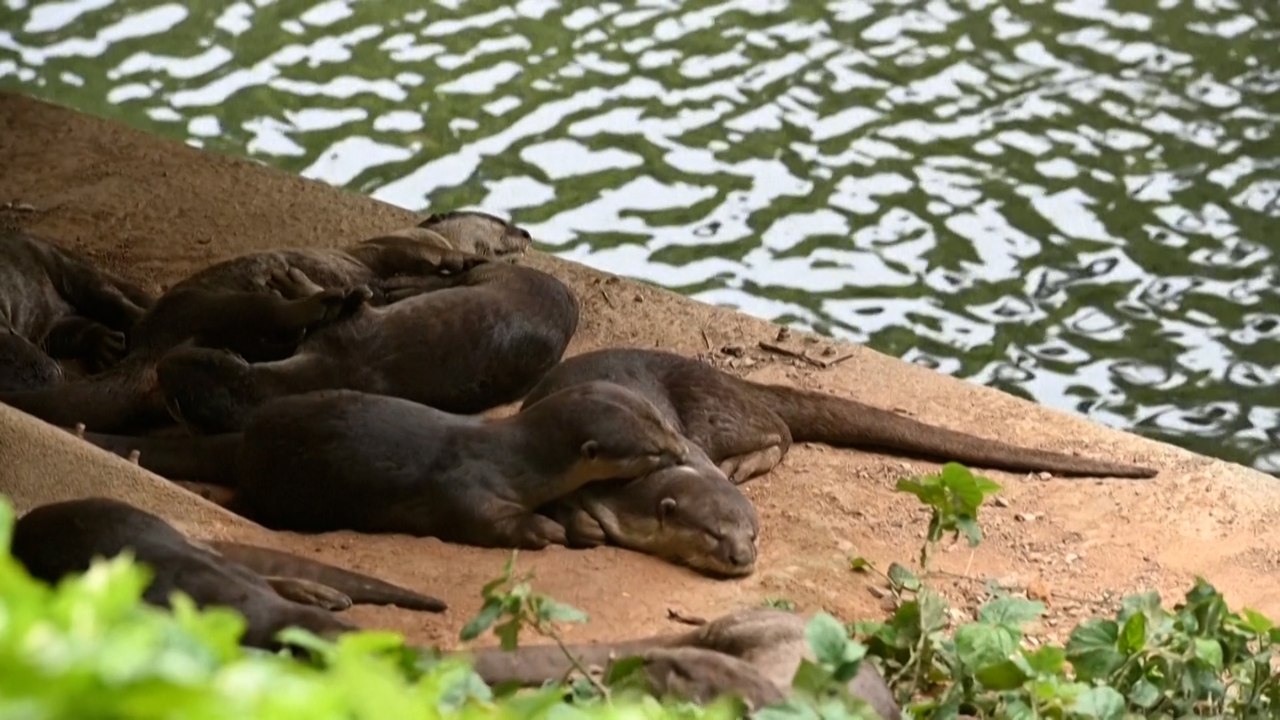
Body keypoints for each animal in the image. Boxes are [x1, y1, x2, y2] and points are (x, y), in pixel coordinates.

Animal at [74, 383, 690, 549]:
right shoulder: (466, 485)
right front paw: (543, 528)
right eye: (650, 450)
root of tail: (250, 437)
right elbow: (483, 520)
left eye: (663, 426)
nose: (682, 452)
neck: (512, 459)